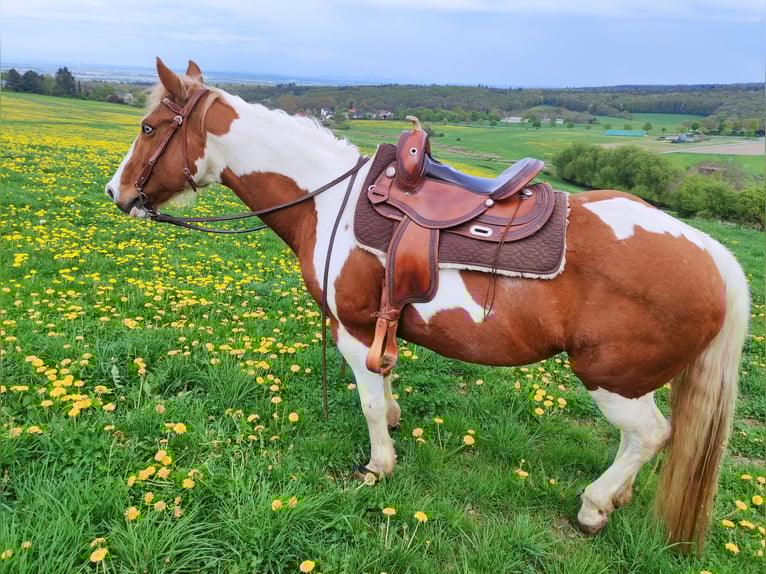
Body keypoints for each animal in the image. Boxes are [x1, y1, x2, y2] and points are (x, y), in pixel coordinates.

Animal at [105, 58, 749, 555]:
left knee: (649, 435)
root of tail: (713, 254)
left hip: (613, 379)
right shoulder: (379, 329)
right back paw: (616, 495)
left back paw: (595, 506)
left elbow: (367, 401)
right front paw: (393, 424)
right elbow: (385, 387)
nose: (116, 193)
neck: (327, 198)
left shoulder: (353, 328)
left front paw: (378, 465)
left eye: (148, 126)